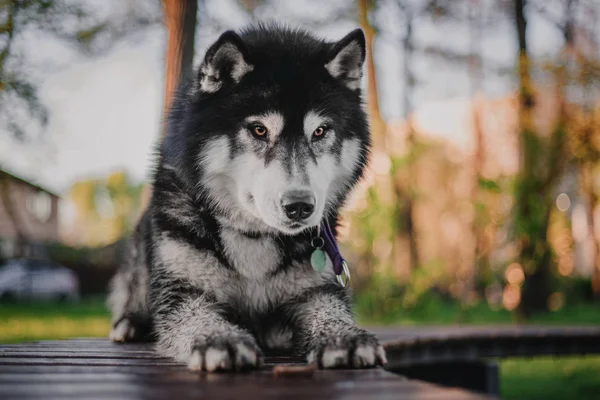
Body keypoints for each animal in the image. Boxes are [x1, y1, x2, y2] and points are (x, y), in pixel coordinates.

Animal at [108, 24, 386, 372]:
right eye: (259, 130)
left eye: (320, 131)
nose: (299, 206)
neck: (252, 237)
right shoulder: (183, 290)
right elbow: (195, 316)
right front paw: (220, 339)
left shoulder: (315, 289)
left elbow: (329, 309)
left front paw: (343, 336)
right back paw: (129, 322)